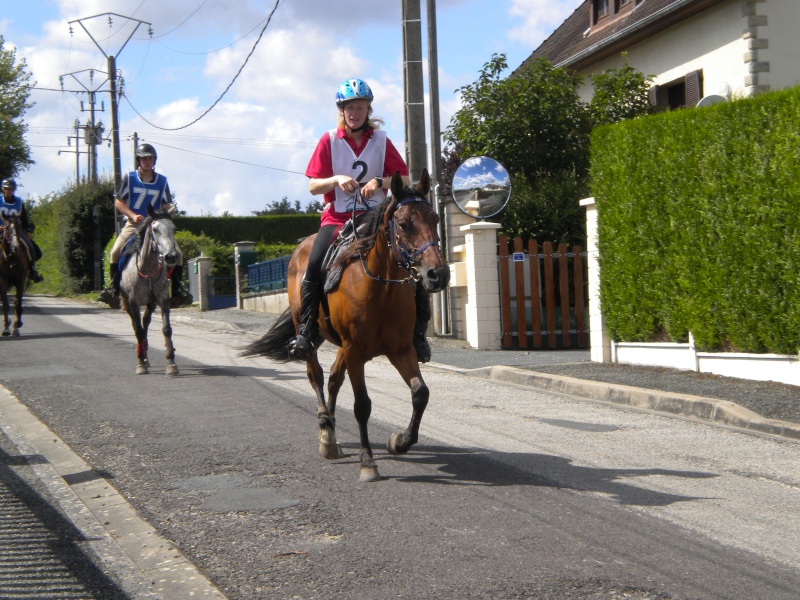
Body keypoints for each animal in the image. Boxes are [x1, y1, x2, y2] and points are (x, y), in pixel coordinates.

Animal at [118, 206, 179, 376]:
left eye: (174, 229)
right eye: (155, 229)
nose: (171, 257)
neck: (147, 269)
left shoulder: (163, 299)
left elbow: (166, 329)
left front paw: (171, 363)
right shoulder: (134, 302)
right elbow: (138, 330)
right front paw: (140, 364)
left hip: (151, 303)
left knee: (145, 321)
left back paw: (145, 354)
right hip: (128, 303)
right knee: (136, 325)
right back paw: (142, 356)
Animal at [242, 171, 450, 480]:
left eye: (435, 218)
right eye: (403, 224)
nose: (438, 274)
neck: (381, 288)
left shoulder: (400, 350)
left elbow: (420, 393)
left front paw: (399, 441)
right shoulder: (355, 352)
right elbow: (362, 405)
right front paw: (367, 461)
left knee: (333, 380)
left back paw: (331, 430)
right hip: (310, 335)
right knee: (316, 376)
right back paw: (327, 435)